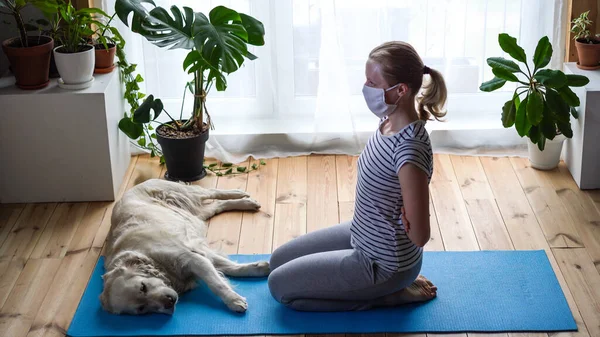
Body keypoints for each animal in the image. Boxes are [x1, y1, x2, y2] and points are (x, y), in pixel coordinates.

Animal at [99, 177, 270, 314]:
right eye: (141, 309)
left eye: (143, 287)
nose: (168, 302)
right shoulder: (197, 252)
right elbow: (229, 268)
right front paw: (259, 268)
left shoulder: (190, 257)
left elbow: (216, 284)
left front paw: (234, 301)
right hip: (196, 212)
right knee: (217, 205)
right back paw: (245, 202)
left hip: (186, 193)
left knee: (212, 191)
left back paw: (242, 196)